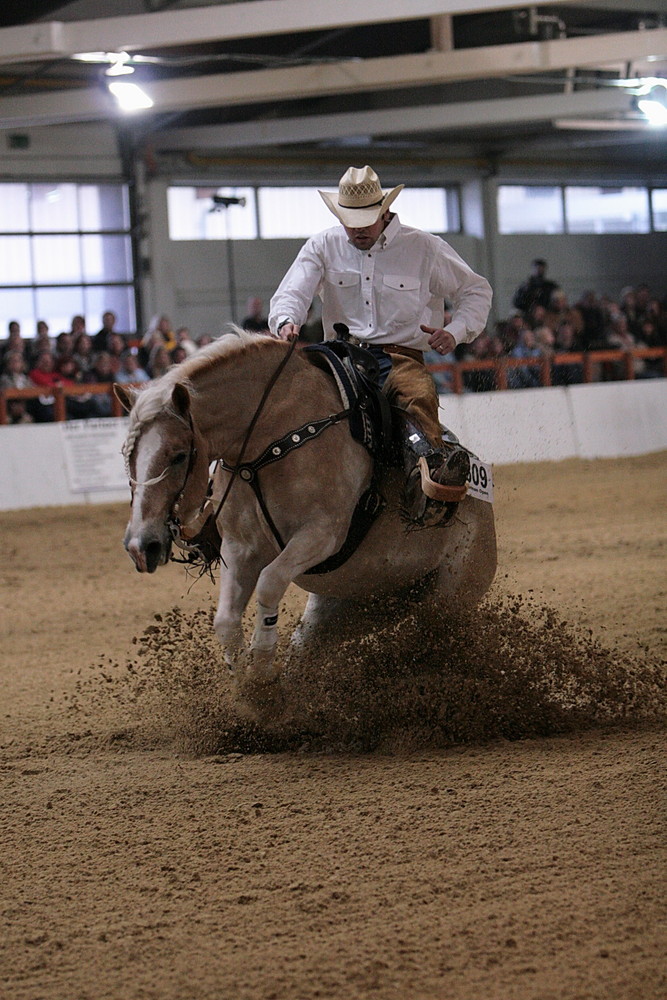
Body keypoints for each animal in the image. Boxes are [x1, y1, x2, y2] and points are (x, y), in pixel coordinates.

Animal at [115, 332, 496, 684]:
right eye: (126, 455)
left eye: (179, 456)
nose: (140, 546)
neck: (272, 438)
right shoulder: (240, 547)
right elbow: (225, 621)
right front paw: (249, 691)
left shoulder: (321, 535)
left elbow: (269, 582)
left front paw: (262, 667)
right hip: (345, 605)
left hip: (449, 601)